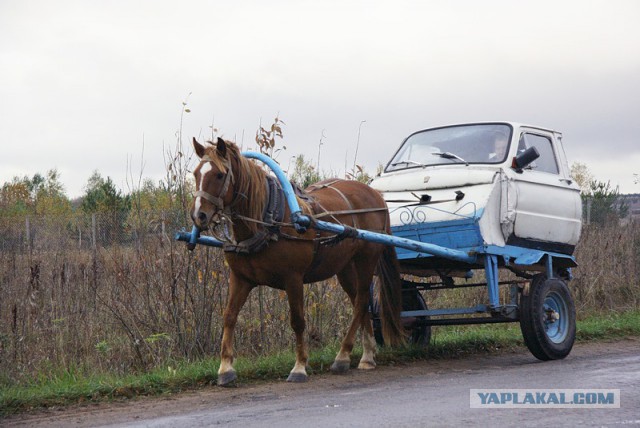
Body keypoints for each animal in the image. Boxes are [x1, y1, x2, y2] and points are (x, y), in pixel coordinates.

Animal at [188, 137, 404, 384]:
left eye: (219, 175)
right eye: (196, 173)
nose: (199, 215)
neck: (266, 219)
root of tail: (376, 194)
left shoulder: (293, 278)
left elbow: (297, 320)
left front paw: (300, 366)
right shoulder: (240, 279)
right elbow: (229, 317)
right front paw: (225, 368)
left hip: (366, 259)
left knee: (360, 302)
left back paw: (343, 355)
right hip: (345, 267)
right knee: (361, 301)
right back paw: (367, 355)